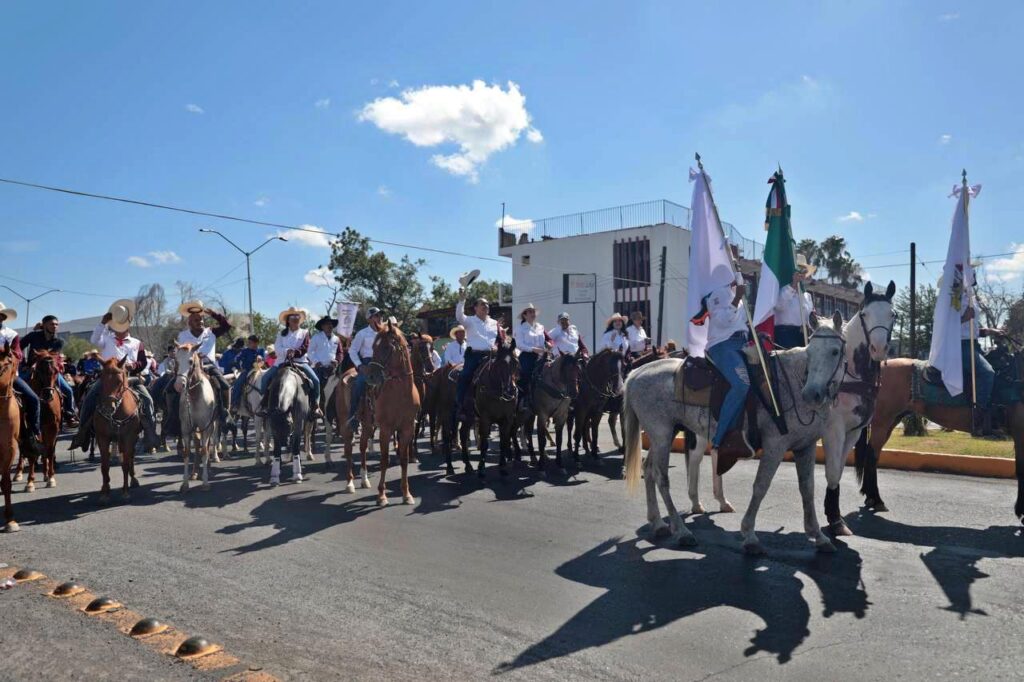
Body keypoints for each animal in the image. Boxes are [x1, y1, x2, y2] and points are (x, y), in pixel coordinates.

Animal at [93, 356, 141, 499]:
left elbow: (125, 463)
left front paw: (125, 492)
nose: (109, 408)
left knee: (130, 456)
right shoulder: (102, 437)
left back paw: (133, 479)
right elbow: (104, 465)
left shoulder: (129, 437)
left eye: (119, 381)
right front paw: (105, 491)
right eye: (102, 379)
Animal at [174, 342, 220, 491]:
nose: (179, 385)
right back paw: (195, 472)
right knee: (198, 444)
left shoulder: (206, 426)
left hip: (213, 424)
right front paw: (185, 483)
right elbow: (187, 452)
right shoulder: (186, 429)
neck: (195, 396)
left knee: (211, 442)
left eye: (190, 361)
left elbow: (205, 450)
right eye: (176, 360)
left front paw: (205, 482)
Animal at [364, 319, 419, 503]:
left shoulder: (407, 428)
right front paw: (381, 495)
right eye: (373, 346)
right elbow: (384, 460)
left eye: (387, 347)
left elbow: (403, 459)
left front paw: (406, 493)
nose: (370, 377)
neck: (400, 394)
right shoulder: (386, 429)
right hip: (366, 426)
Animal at [622, 311, 847, 548]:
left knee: (648, 469)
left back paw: (658, 523)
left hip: (664, 433)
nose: (811, 393)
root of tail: (636, 373)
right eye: (810, 351)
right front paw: (750, 535)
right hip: (661, 433)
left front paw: (818, 535)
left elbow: (808, 489)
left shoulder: (806, 446)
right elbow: (761, 485)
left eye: (835, 351)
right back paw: (682, 531)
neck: (791, 383)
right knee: (660, 476)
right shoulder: (775, 445)